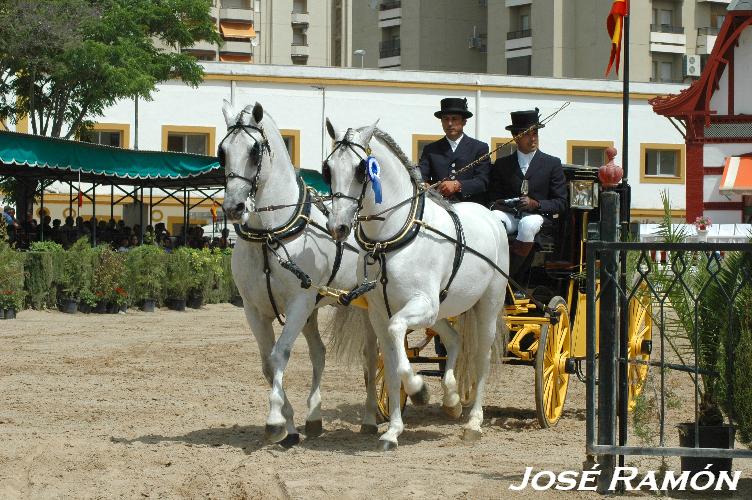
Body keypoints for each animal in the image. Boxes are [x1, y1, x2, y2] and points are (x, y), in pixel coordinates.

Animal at [220, 101, 378, 446]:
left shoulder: (297, 303)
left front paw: (274, 421)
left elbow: (281, 354)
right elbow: (268, 364)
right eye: (222, 151)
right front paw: (289, 425)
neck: (269, 236)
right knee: (319, 353)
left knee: (371, 355)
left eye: (254, 150)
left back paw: (371, 419)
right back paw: (314, 417)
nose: (234, 207)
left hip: (367, 308)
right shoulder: (255, 311)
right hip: (313, 310)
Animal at [324, 121, 512, 450]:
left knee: (482, 357)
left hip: (486, 305)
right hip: (441, 312)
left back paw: (474, 422)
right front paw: (392, 431)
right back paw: (452, 401)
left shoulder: (419, 306)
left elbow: (400, 349)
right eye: (329, 168)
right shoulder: (380, 314)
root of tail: (492, 216)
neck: (390, 239)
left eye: (361, 170)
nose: (338, 227)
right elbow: (391, 365)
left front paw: (420, 390)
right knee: (454, 340)